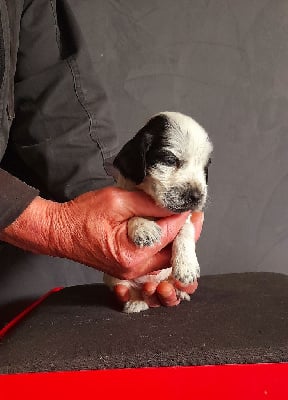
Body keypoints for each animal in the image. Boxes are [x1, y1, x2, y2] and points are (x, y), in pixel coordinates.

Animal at [103, 111, 212, 312]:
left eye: (204, 168)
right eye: (170, 160)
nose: (197, 196)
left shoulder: (184, 219)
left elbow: (185, 232)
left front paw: (186, 265)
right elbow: (132, 216)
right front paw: (144, 228)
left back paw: (178, 291)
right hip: (115, 280)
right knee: (132, 290)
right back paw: (136, 301)